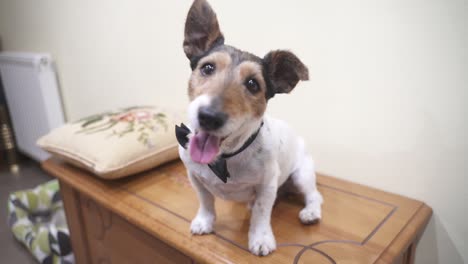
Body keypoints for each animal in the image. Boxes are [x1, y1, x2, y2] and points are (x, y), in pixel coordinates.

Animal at [177, 0, 324, 256]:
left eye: (253, 84)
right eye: (207, 68)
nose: (209, 117)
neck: (224, 158)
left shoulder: (267, 185)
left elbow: (262, 214)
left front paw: (261, 238)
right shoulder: (194, 176)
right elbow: (206, 202)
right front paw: (205, 221)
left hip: (302, 175)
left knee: (315, 195)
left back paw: (311, 212)